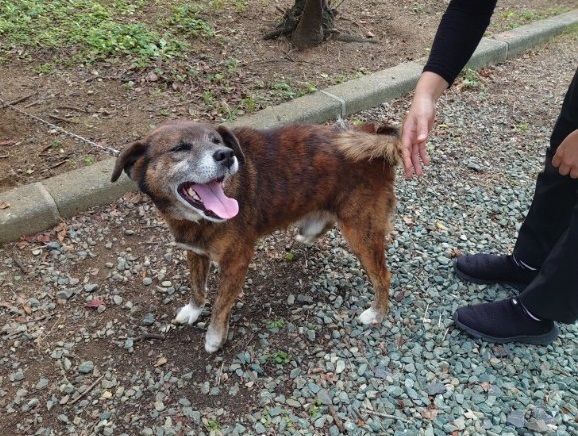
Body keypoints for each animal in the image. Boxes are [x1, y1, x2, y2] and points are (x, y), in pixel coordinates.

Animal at [111, 120, 400, 352]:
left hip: (361, 232)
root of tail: (373, 134)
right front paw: (193, 310)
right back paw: (310, 232)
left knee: (383, 276)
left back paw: (376, 313)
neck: (195, 219)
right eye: (180, 148)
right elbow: (197, 286)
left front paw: (214, 337)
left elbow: (221, 304)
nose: (226, 154)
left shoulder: (237, 261)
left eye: (216, 141)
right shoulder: (194, 251)